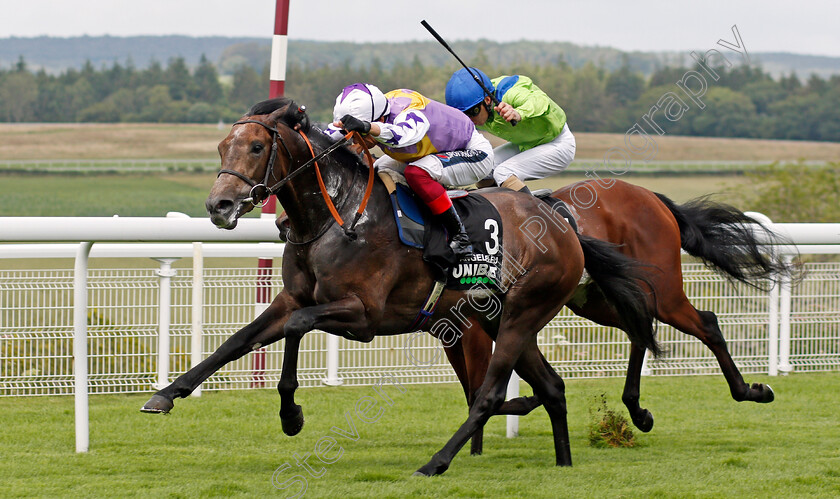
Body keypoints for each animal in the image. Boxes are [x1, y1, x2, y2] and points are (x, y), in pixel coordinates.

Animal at [141, 98, 660, 476]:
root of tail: (563, 225)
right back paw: (563, 460)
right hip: (499, 318)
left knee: (489, 394)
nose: (219, 206)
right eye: (221, 147)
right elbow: (237, 341)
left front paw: (292, 416)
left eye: (253, 148)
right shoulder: (294, 296)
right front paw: (166, 394)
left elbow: (296, 327)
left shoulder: (364, 315)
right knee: (552, 387)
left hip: (522, 313)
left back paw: (436, 462)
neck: (337, 216)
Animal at [442, 180, 792, 458]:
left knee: (703, 323)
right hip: (597, 298)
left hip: (663, 292)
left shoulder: (478, 323)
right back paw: (638, 411)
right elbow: (481, 388)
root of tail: (649, 195)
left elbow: (480, 389)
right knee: (641, 328)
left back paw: (750, 391)